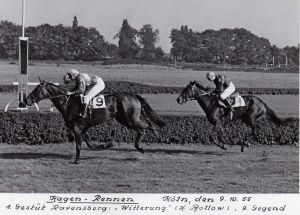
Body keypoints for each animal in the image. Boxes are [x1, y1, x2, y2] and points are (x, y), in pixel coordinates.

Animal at [26, 80, 165, 163]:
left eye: (37, 89)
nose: (27, 100)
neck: (68, 103)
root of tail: (134, 95)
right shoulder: (84, 128)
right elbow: (89, 144)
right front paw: (107, 144)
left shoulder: (77, 128)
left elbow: (79, 145)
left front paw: (76, 161)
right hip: (125, 119)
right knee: (144, 126)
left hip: (130, 119)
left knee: (147, 126)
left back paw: (150, 142)